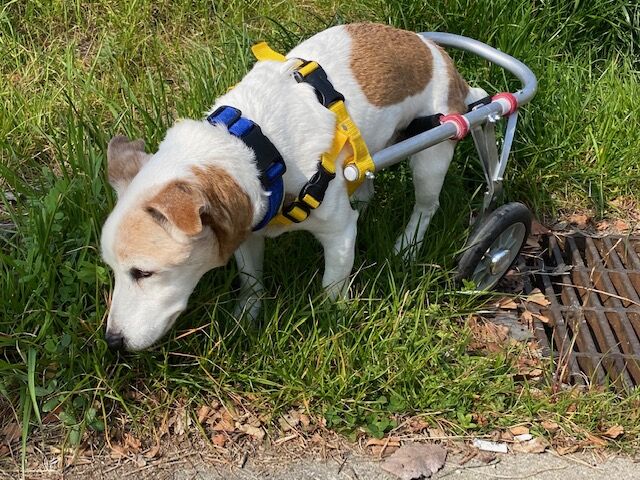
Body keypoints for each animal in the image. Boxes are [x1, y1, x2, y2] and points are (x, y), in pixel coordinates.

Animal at [100, 23, 486, 351]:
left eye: (143, 272)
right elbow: (251, 280)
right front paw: (246, 317)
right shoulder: (246, 228)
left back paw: (407, 245)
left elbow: (332, 287)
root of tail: (441, 56)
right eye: (114, 270)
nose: (113, 342)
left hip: (432, 151)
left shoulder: (338, 235)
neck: (255, 146)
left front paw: (330, 322)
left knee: (426, 206)